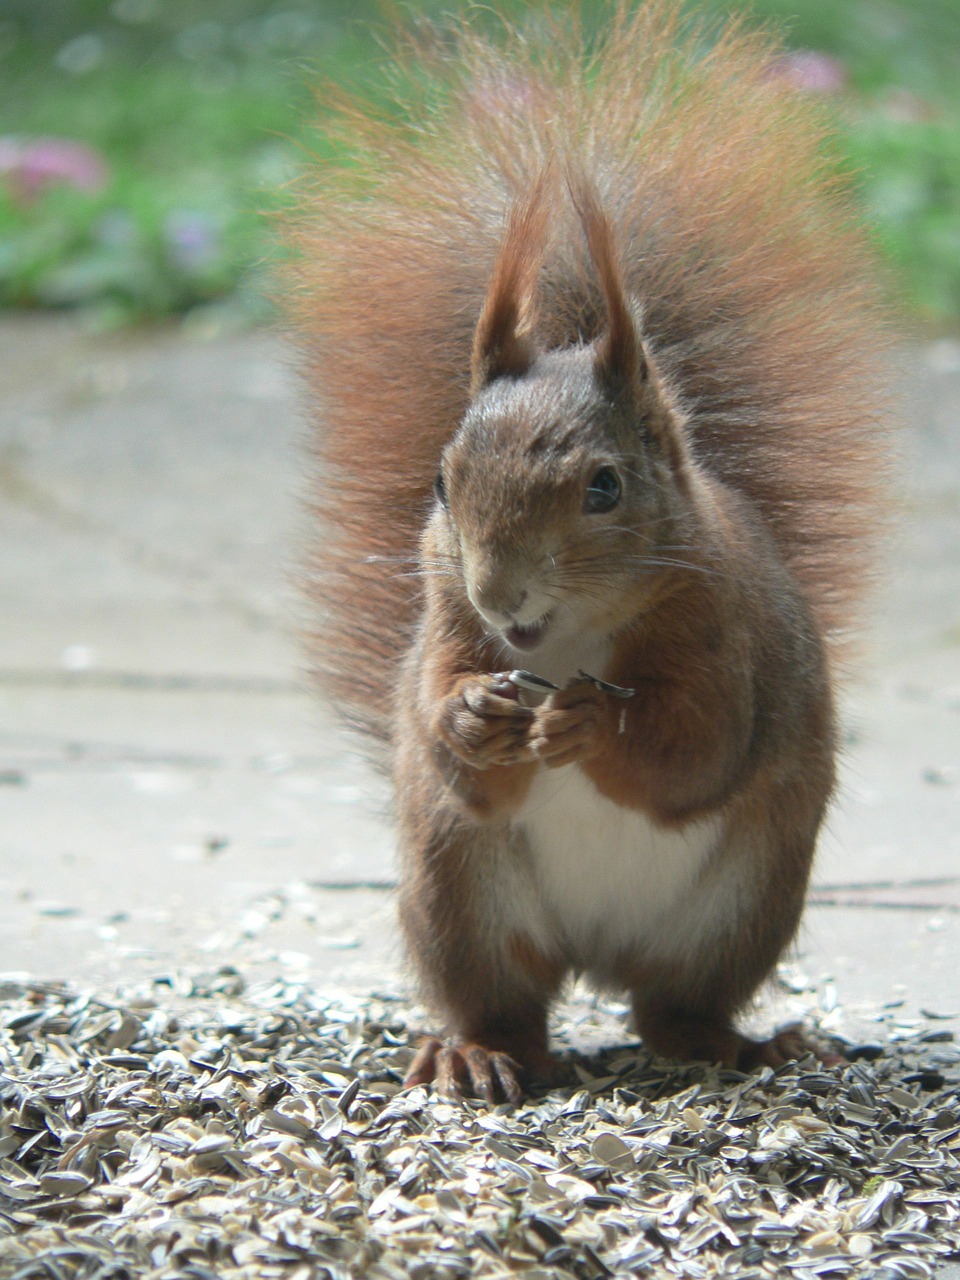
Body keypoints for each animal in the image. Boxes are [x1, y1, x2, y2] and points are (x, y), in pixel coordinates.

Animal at [288, 0, 896, 1100]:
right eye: (439, 483)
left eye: (604, 488)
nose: (500, 592)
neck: (568, 641)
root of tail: (594, 953)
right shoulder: (446, 627)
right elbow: (445, 728)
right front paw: (475, 715)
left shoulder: (724, 639)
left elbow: (697, 748)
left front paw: (593, 726)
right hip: (459, 893)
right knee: (508, 1001)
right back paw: (476, 1051)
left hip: (738, 909)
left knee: (671, 1009)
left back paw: (740, 1042)